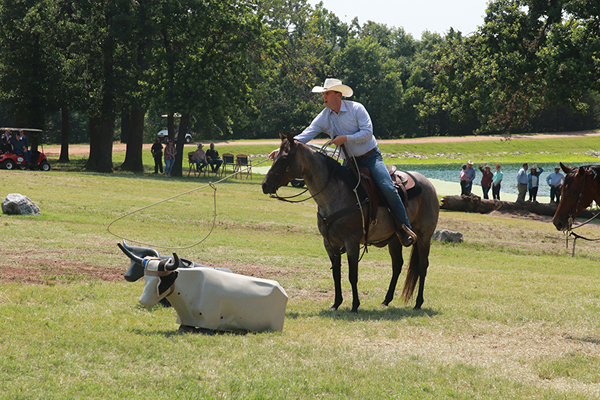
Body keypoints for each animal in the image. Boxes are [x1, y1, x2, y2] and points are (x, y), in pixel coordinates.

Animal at [262, 134, 440, 312]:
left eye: (285, 158)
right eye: (275, 156)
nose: (265, 185)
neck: (335, 194)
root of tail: (428, 183)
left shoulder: (352, 242)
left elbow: (352, 275)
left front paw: (355, 305)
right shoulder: (329, 243)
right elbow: (336, 274)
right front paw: (336, 303)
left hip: (424, 236)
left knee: (422, 265)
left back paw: (418, 303)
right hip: (395, 238)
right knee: (397, 265)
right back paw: (386, 300)